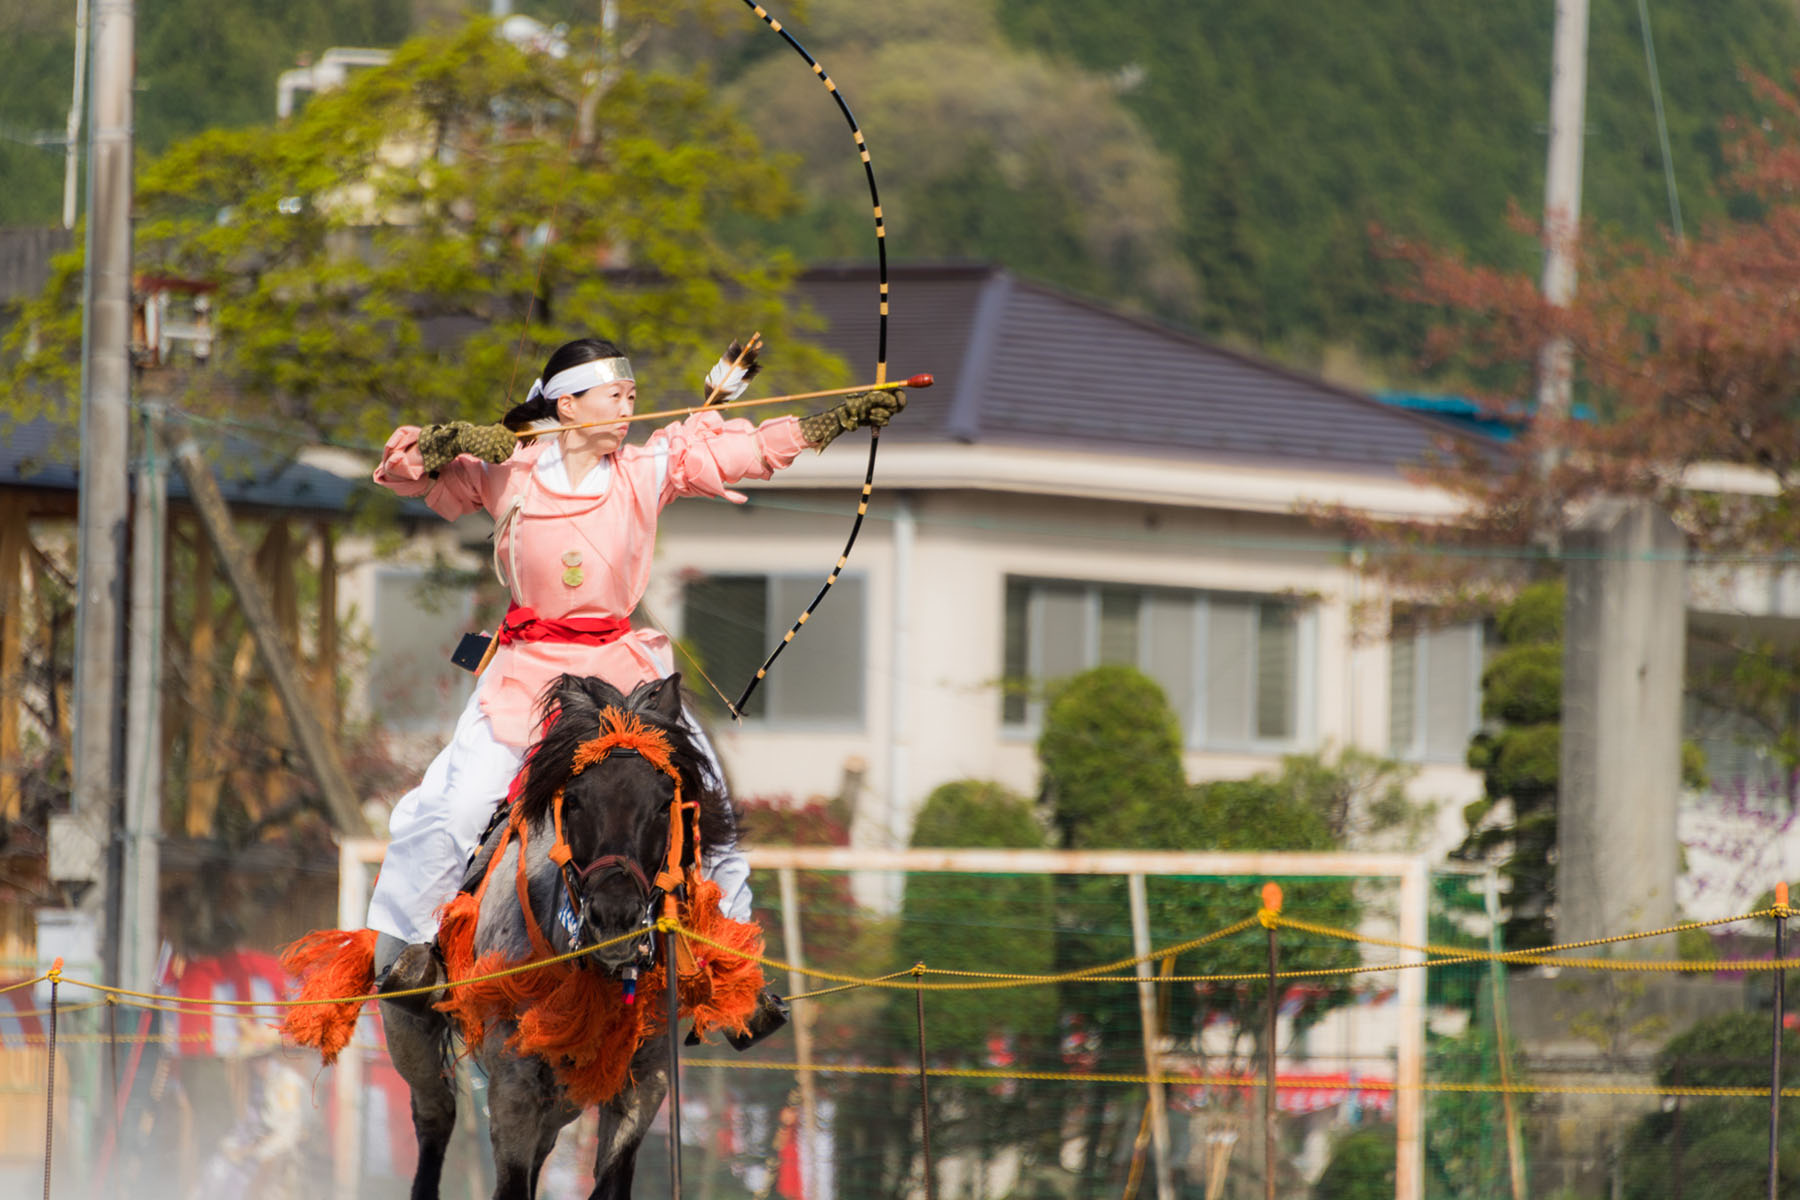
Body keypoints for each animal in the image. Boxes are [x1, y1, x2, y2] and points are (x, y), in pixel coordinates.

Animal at [379, 676, 738, 1200]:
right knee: (434, 1117)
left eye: (662, 804)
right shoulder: (514, 1085)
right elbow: (510, 1183)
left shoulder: (642, 1083)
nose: (615, 917)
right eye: (576, 801)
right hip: (408, 1030)